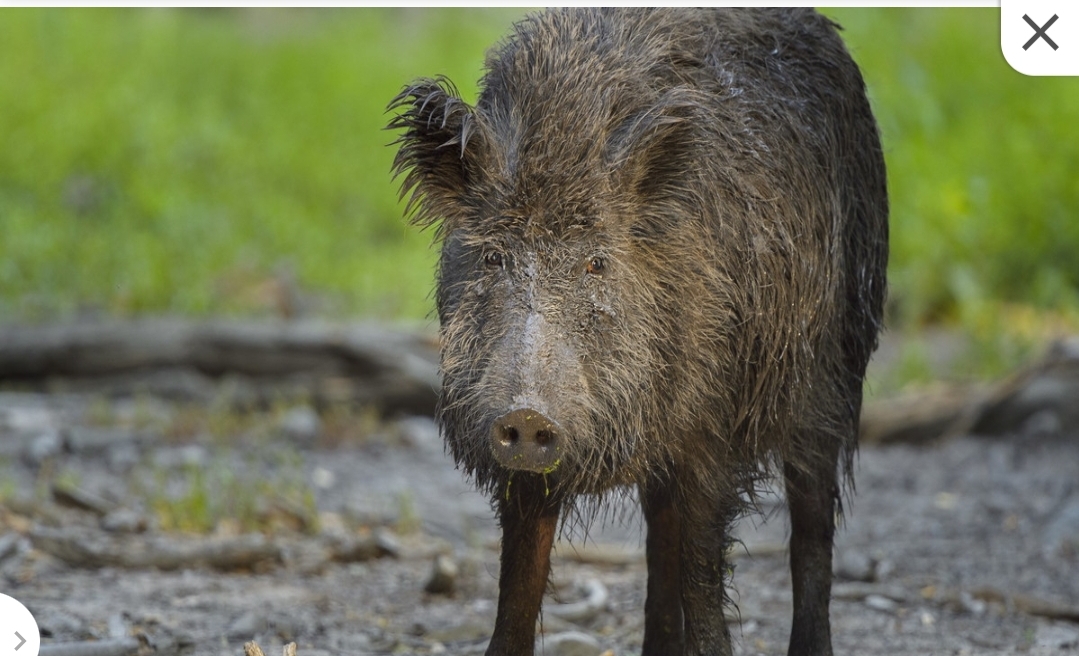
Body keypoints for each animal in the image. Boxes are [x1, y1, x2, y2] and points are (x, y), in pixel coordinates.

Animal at [388, 8, 887, 656]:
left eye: (597, 262)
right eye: (494, 257)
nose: (526, 414)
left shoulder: (713, 426)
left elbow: (703, 574)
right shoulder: (523, 466)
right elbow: (520, 581)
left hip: (837, 364)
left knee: (810, 525)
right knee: (660, 538)